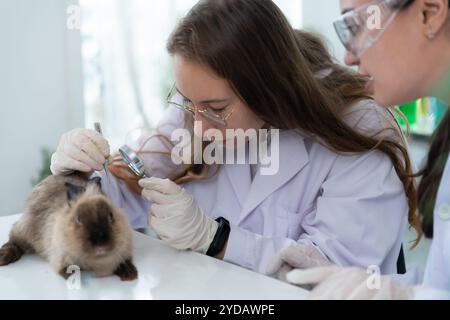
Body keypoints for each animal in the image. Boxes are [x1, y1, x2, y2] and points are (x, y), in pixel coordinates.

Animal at [0, 174, 138, 282]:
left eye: (111, 215)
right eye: (78, 219)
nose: (100, 243)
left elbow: (124, 261)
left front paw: (130, 275)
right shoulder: (61, 257)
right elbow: (66, 270)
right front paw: (74, 278)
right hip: (24, 230)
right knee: (13, 242)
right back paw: (4, 258)